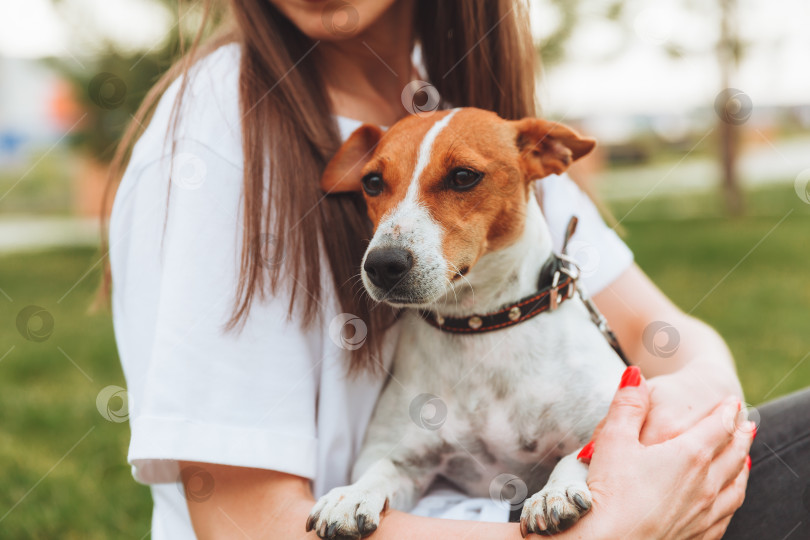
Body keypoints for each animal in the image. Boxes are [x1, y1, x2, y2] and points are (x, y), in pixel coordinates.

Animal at [306, 107, 628, 536]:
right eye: (372, 182)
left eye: (462, 176)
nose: (382, 265)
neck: (479, 325)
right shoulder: (407, 461)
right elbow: (380, 469)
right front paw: (351, 494)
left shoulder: (607, 416)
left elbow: (579, 453)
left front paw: (552, 492)